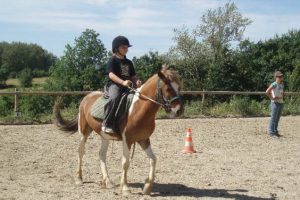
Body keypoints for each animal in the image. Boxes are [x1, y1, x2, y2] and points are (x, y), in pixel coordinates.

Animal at [54, 65, 185, 195]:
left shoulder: (144, 139)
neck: (138, 109)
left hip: (104, 136)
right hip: (84, 132)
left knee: (101, 154)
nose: (179, 111)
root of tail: (87, 97)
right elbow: (125, 162)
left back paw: (107, 181)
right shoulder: (127, 140)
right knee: (80, 152)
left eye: (179, 87)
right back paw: (79, 179)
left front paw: (147, 186)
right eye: (168, 88)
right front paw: (125, 188)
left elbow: (153, 159)